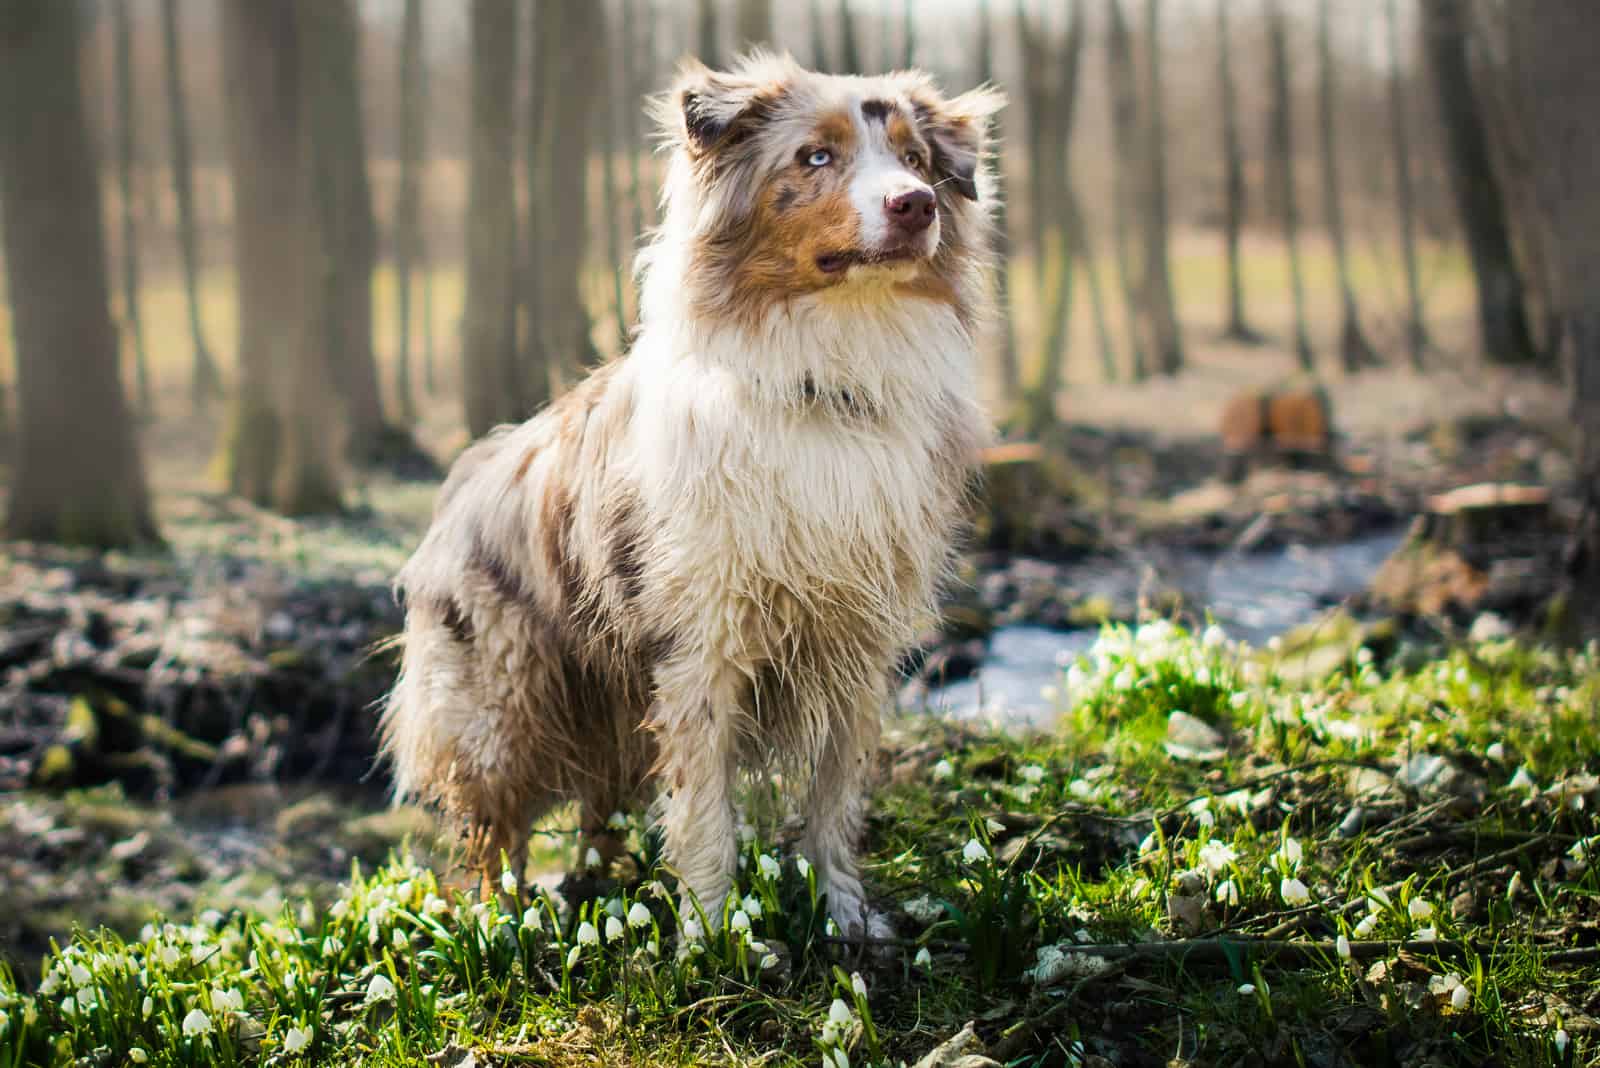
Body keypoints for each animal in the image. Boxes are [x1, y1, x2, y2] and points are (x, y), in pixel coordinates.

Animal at [384, 54, 998, 940]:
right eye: (815, 157)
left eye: (915, 159)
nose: (914, 205)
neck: (825, 379)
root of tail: (464, 476)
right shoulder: (700, 646)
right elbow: (706, 812)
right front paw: (711, 938)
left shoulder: (859, 643)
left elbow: (835, 799)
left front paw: (846, 918)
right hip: (503, 702)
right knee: (492, 833)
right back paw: (502, 926)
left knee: (600, 809)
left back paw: (601, 891)